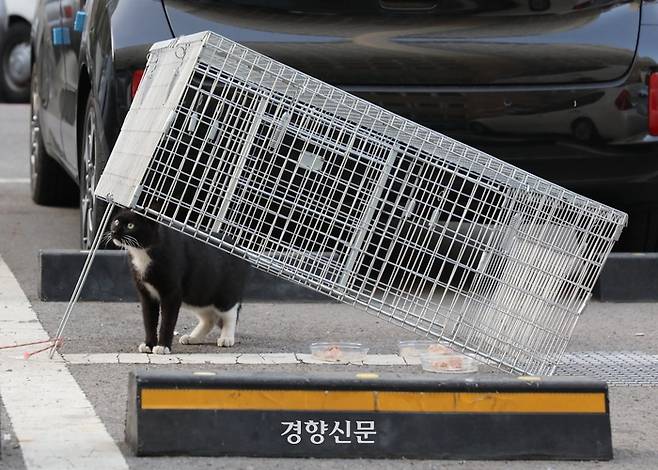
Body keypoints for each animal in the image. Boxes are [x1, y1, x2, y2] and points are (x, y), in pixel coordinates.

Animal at [109, 209, 250, 352]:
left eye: (130, 226)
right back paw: (193, 338)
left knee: (230, 312)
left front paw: (163, 347)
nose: (114, 232)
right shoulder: (146, 294)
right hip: (199, 293)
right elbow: (149, 320)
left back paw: (227, 337)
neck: (143, 252)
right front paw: (149, 344)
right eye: (116, 221)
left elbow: (167, 320)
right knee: (209, 318)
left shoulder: (172, 293)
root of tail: (241, 250)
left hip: (225, 291)